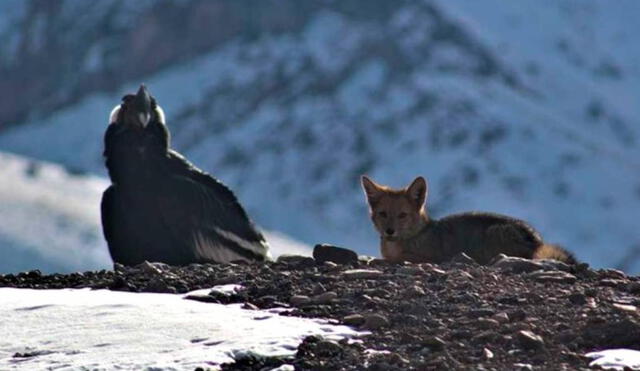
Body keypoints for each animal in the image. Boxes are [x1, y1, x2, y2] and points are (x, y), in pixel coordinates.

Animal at [362, 176, 576, 266]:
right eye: (383, 214)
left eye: (402, 215)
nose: (389, 231)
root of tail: (536, 241)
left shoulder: (432, 257)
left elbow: (399, 257)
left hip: (494, 232)